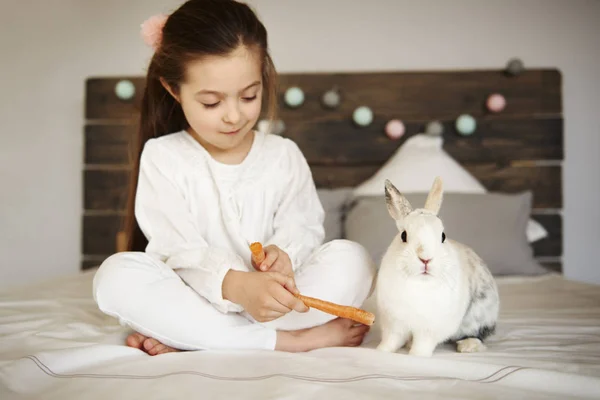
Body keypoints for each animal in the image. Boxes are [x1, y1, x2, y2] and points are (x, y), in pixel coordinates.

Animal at [378, 177, 500, 354]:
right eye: (403, 235)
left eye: (443, 236)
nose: (426, 258)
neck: (419, 282)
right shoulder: (394, 325)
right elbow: (391, 341)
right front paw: (380, 351)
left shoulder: (428, 331)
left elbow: (422, 346)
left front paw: (416, 355)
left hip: (479, 317)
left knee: (477, 334)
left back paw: (468, 346)